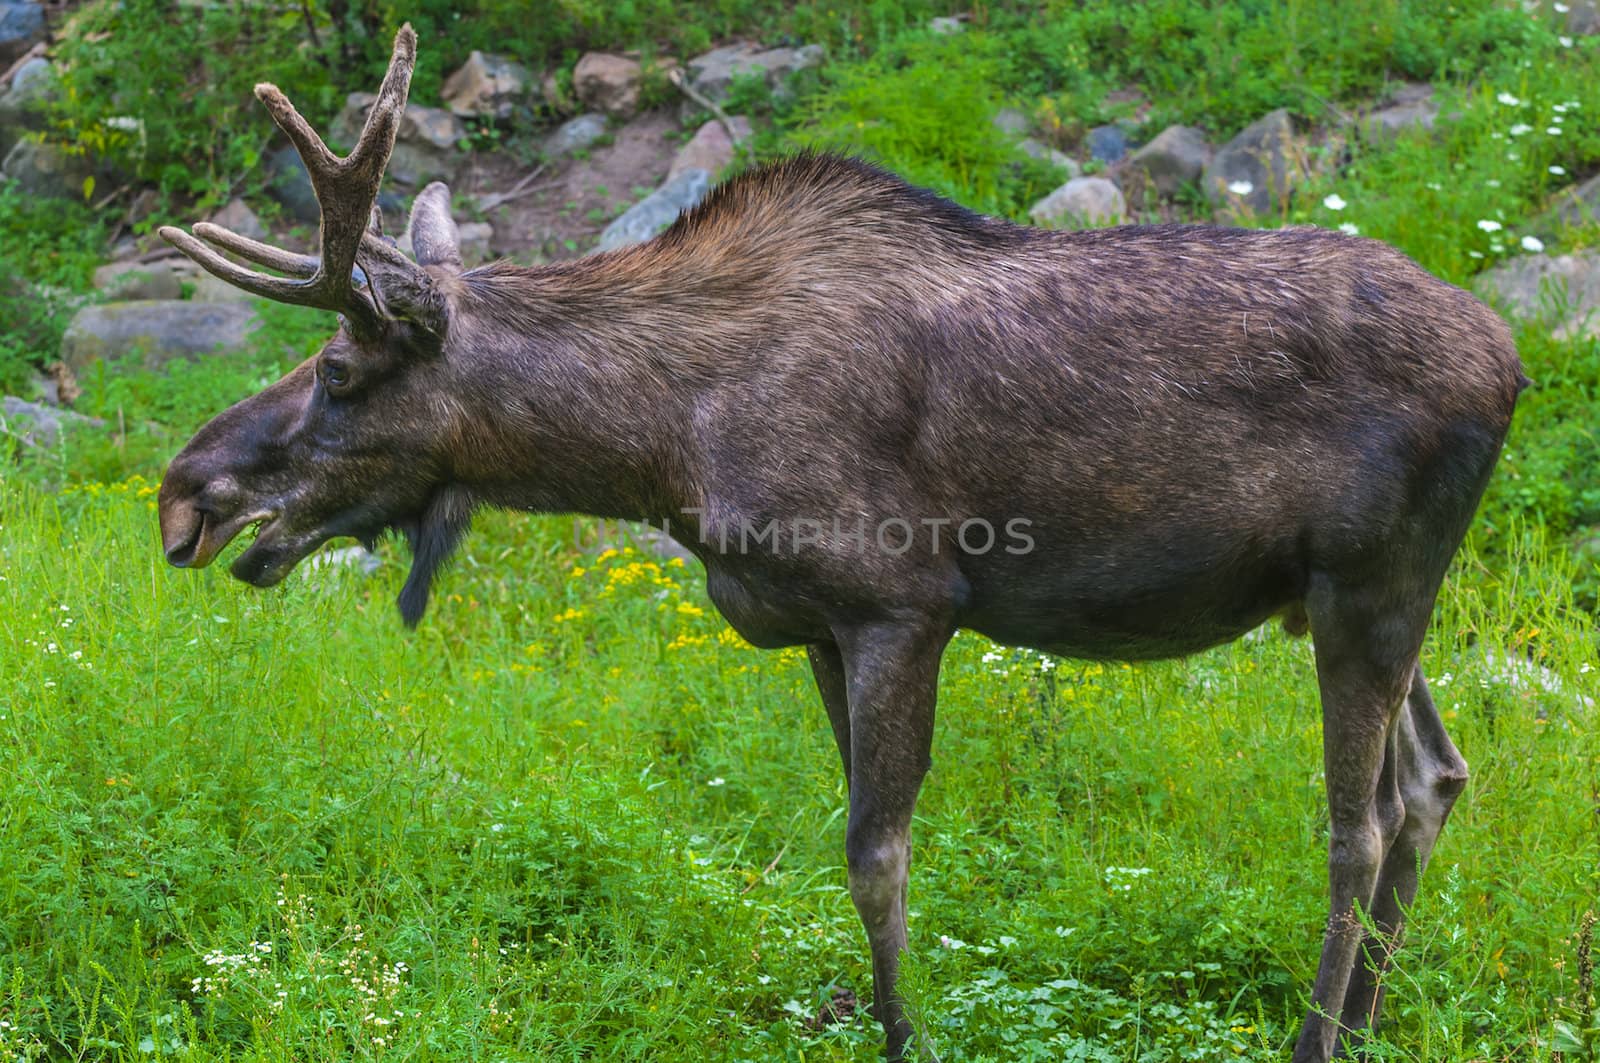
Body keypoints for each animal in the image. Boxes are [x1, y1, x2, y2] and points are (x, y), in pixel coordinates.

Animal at [159, 27, 1523, 1063]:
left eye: (337, 371)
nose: (185, 493)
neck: (661, 444)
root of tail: (1512, 361)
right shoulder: (812, 623)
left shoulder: (901, 601)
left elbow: (877, 855)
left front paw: (902, 1036)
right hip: (1349, 595)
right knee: (1433, 777)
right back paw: (1371, 1020)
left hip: (1369, 582)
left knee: (1358, 824)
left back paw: (1319, 1037)